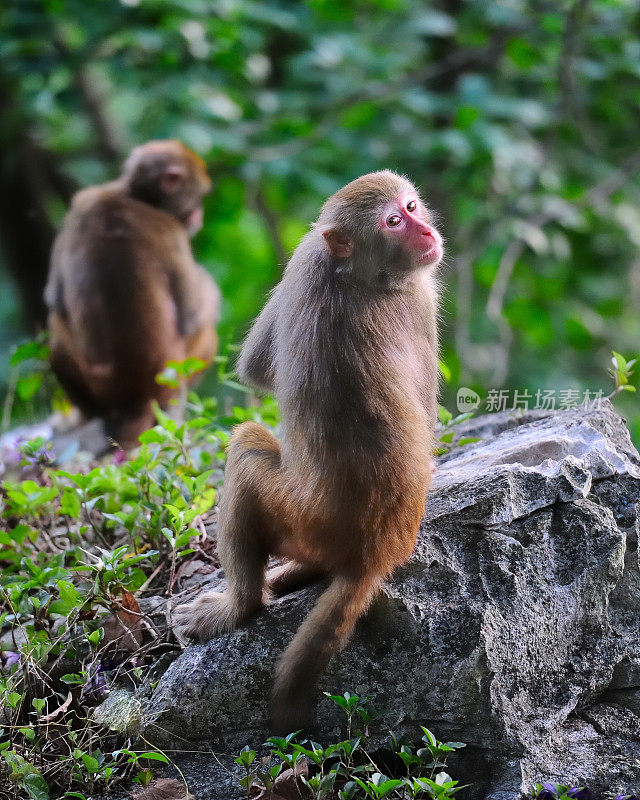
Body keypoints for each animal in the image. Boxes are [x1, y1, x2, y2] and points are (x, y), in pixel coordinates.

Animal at [45, 140, 220, 446]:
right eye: (199, 195)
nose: (199, 213)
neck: (132, 195)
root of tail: (136, 400)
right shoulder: (171, 230)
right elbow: (193, 314)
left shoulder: (83, 205)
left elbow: (54, 296)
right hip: (175, 375)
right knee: (206, 331)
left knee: (55, 327)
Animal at [176, 170, 444, 732]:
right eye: (394, 220)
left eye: (411, 208)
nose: (427, 233)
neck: (362, 271)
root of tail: (376, 554)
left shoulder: (314, 261)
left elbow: (257, 368)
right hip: (308, 524)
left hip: (304, 521)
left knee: (247, 450)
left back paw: (246, 603)